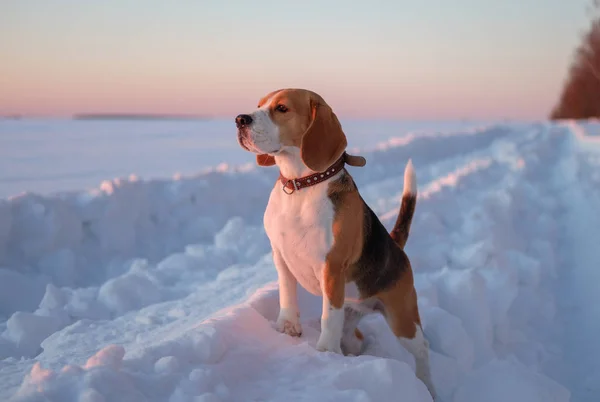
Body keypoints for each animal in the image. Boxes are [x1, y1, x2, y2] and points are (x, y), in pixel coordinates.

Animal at [234, 88, 436, 398]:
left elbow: (328, 317)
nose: (240, 120)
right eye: (259, 105)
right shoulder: (280, 255)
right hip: (354, 318)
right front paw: (288, 327)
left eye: (282, 108)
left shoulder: (332, 267)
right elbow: (286, 293)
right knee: (355, 337)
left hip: (402, 318)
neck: (301, 185)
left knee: (422, 348)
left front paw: (325, 353)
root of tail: (396, 247)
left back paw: (428, 387)